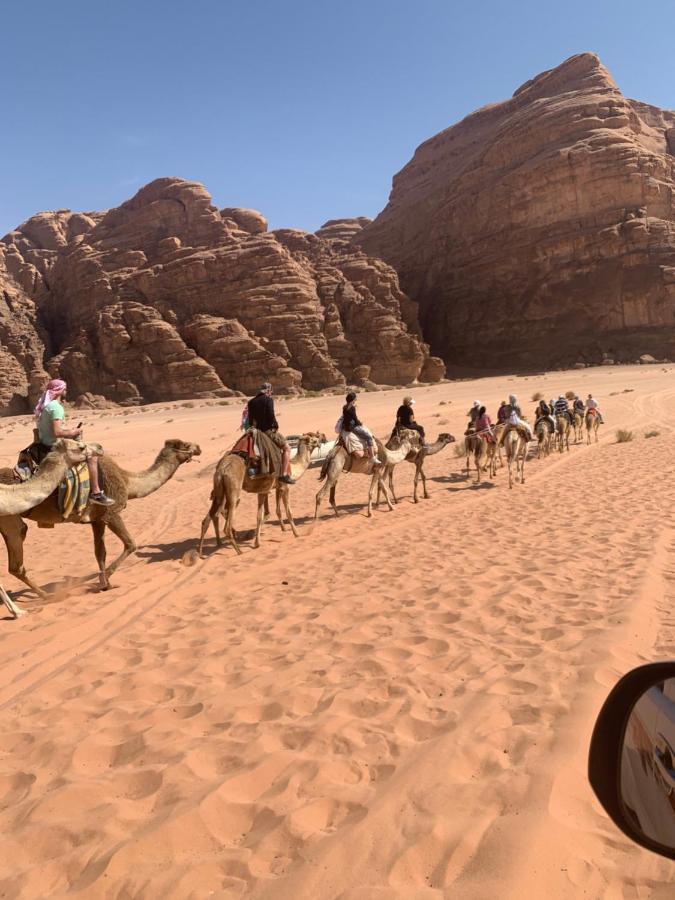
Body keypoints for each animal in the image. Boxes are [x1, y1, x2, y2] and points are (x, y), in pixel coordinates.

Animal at [0, 440, 201, 600]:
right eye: (184, 445)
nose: (198, 447)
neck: (128, 482)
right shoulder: (111, 513)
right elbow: (131, 544)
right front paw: (105, 580)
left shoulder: (97, 520)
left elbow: (100, 552)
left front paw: (106, 584)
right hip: (11, 521)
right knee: (17, 560)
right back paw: (45, 597)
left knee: (15, 566)